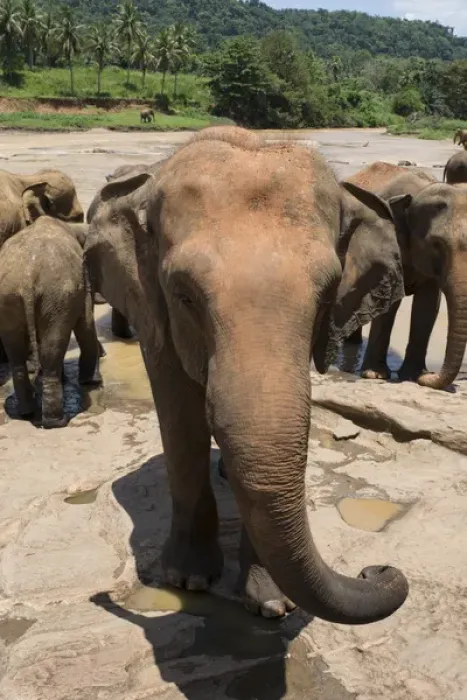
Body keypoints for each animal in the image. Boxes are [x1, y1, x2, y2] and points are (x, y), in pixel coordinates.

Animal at [0, 217, 102, 428]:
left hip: (9, 297)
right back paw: (57, 422)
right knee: (52, 349)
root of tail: (27, 277)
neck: (72, 227)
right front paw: (92, 382)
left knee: (17, 353)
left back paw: (27, 413)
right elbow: (86, 324)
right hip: (56, 296)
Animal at [85, 125, 409, 624]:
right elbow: (179, 415)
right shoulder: (152, 307)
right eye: (184, 295)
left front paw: (272, 605)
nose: (378, 569)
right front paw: (187, 581)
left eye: (327, 296)